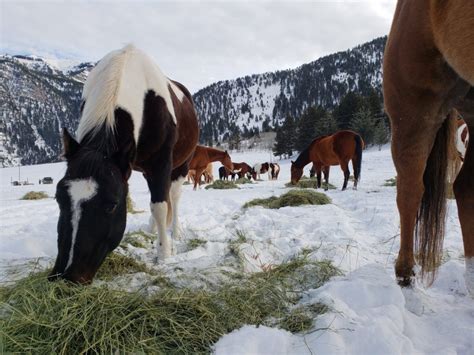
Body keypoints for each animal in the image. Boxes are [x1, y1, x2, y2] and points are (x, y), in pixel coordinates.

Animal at [51, 45, 199, 284]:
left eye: (112, 205)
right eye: (58, 197)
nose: (67, 275)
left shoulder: (161, 163)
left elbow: (160, 206)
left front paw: (164, 254)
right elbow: (156, 203)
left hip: (181, 164)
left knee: (173, 197)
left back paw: (175, 231)